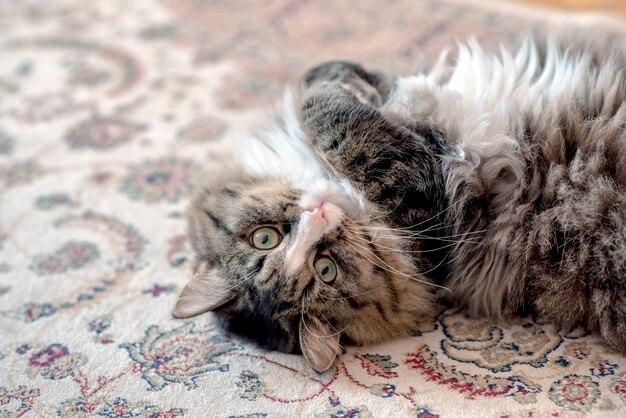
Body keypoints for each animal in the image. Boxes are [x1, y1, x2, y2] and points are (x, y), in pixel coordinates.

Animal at [172, 32, 624, 372]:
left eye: (264, 238)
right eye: (326, 269)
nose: (318, 212)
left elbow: (319, 85)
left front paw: (355, 78)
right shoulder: (429, 208)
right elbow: (329, 115)